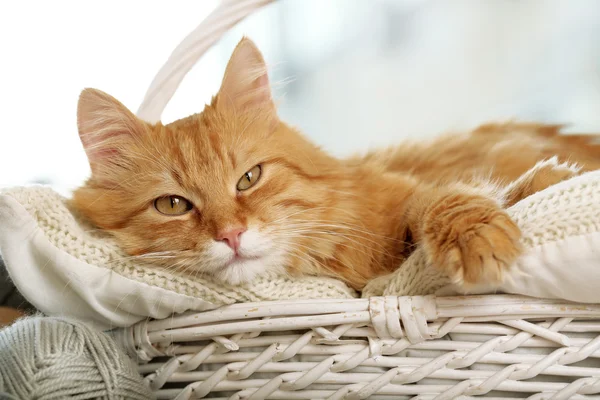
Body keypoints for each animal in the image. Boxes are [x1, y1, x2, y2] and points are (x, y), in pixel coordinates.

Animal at [72, 37, 600, 290]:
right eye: (172, 205)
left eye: (249, 179)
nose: (232, 235)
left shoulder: (410, 194)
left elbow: (442, 201)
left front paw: (477, 237)